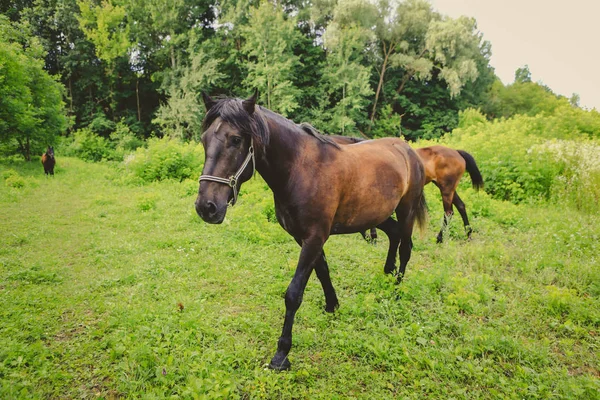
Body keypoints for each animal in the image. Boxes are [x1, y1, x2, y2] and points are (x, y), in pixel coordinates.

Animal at [196, 92, 426, 370]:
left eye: (236, 140)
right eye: (204, 139)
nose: (206, 207)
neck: (301, 169)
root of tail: (408, 150)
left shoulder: (314, 237)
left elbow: (294, 293)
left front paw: (281, 354)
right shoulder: (304, 237)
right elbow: (323, 270)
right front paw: (332, 305)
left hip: (406, 211)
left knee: (406, 247)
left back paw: (397, 288)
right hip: (376, 214)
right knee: (393, 235)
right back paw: (388, 273)